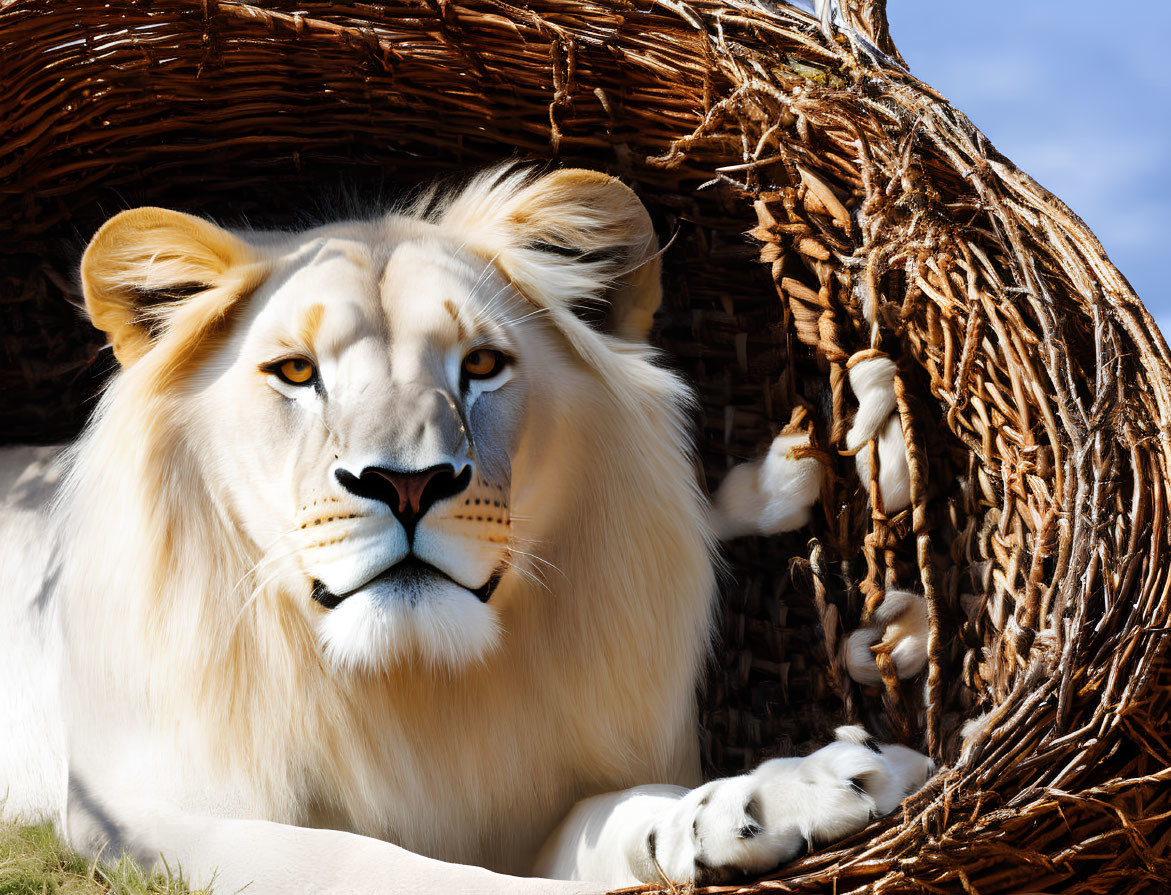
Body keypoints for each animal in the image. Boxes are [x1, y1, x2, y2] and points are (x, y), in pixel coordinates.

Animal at [0, 166, 932, 890]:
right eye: (295, 372)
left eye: (480, 365)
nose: (407, 483)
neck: (417, 684)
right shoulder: (129, 820)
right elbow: (378, 865)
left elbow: (619, 811)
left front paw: (778, 795)